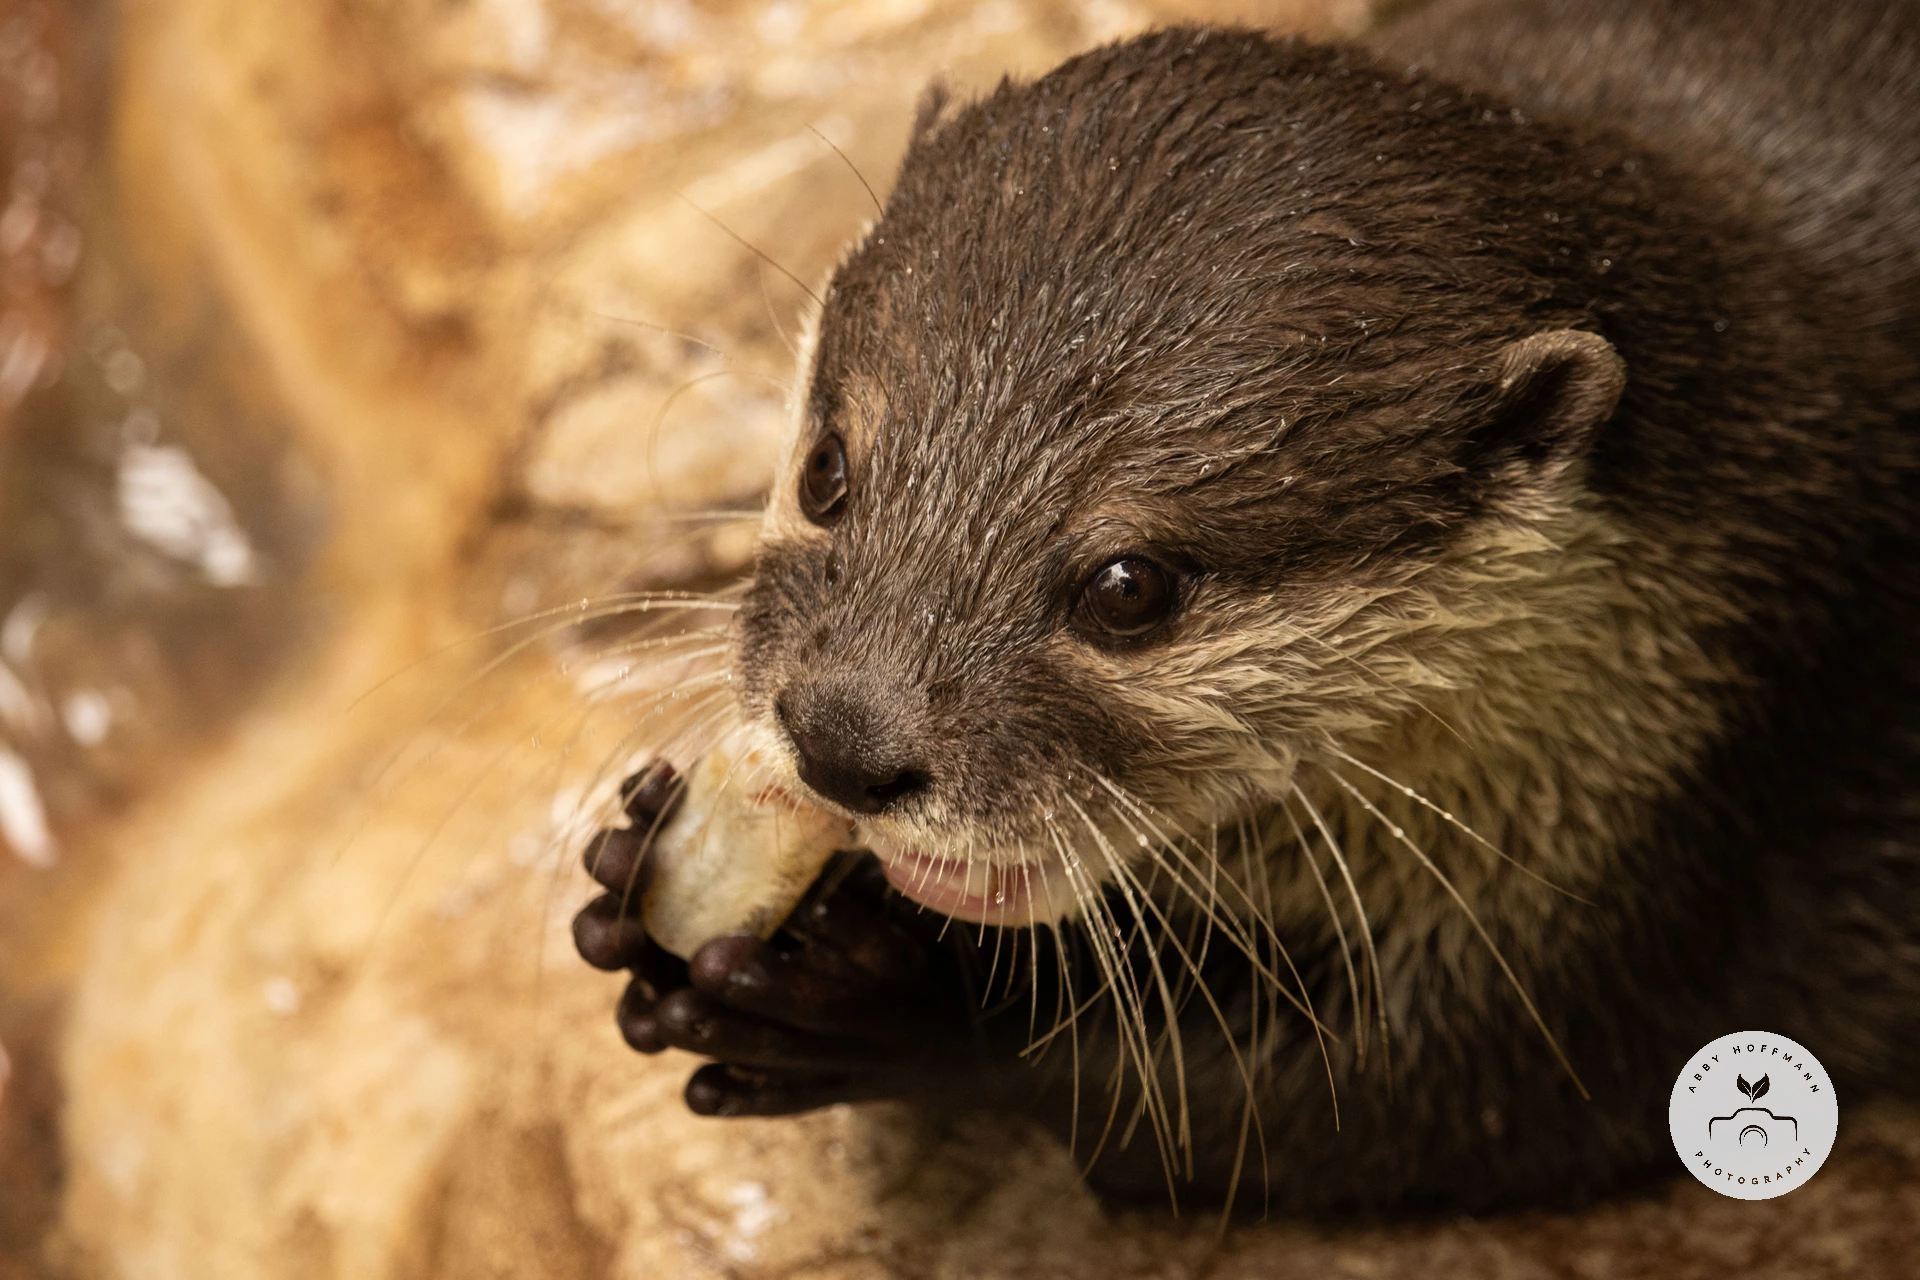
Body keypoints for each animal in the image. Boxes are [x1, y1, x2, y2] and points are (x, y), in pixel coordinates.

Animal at [572, 0, 1920, 1213]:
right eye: (827, 470)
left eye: (1129, 588)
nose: (844, 741)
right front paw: (642, 854)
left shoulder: (1696, 812)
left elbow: (1393, 1105)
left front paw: (894, 999)